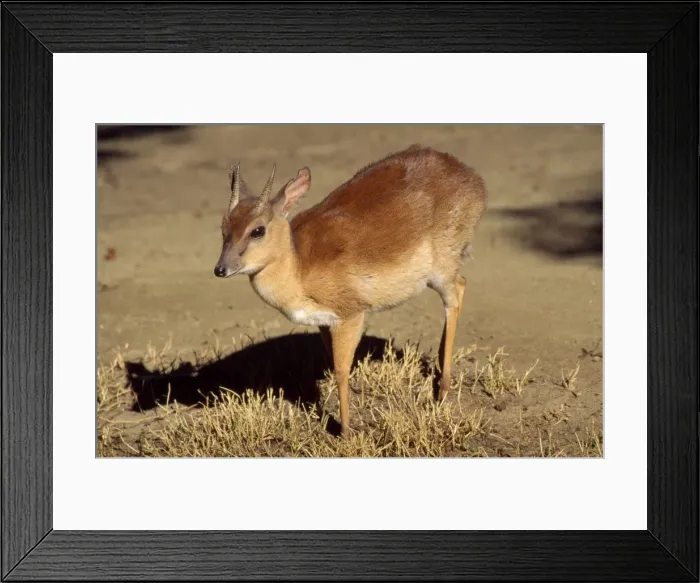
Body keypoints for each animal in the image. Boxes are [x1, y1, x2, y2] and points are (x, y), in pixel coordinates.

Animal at [214, 145, 487, 438]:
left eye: (257, 230)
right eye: (224, 227)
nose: (221, 269)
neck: (299, 267)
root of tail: (471, 177)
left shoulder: (351, 316)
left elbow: (341, 371)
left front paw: (345, 431)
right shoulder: (323, 323)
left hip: (442, 271)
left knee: (456, 293)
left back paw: (442, 391)